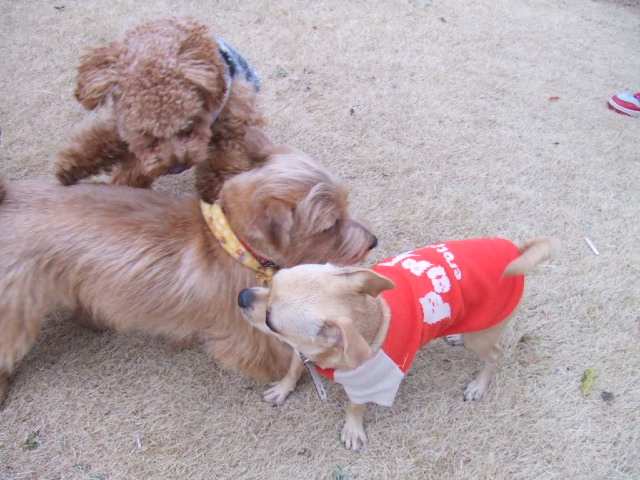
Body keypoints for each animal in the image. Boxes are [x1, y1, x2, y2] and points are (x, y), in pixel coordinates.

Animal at [0, 129, 378, 406]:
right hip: (15, 315)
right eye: (330, 225)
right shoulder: (243, 336)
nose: (373, 241)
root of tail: (8, 198)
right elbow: (278, 355)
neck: (232, 243)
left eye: (346, 205)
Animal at [55, 16, 264, 201]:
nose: (178, 166)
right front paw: (69, 168)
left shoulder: (231, 115)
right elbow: (101, 138)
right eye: (146, 134)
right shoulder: (122, 123)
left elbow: (222, 164)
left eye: (189, 126)